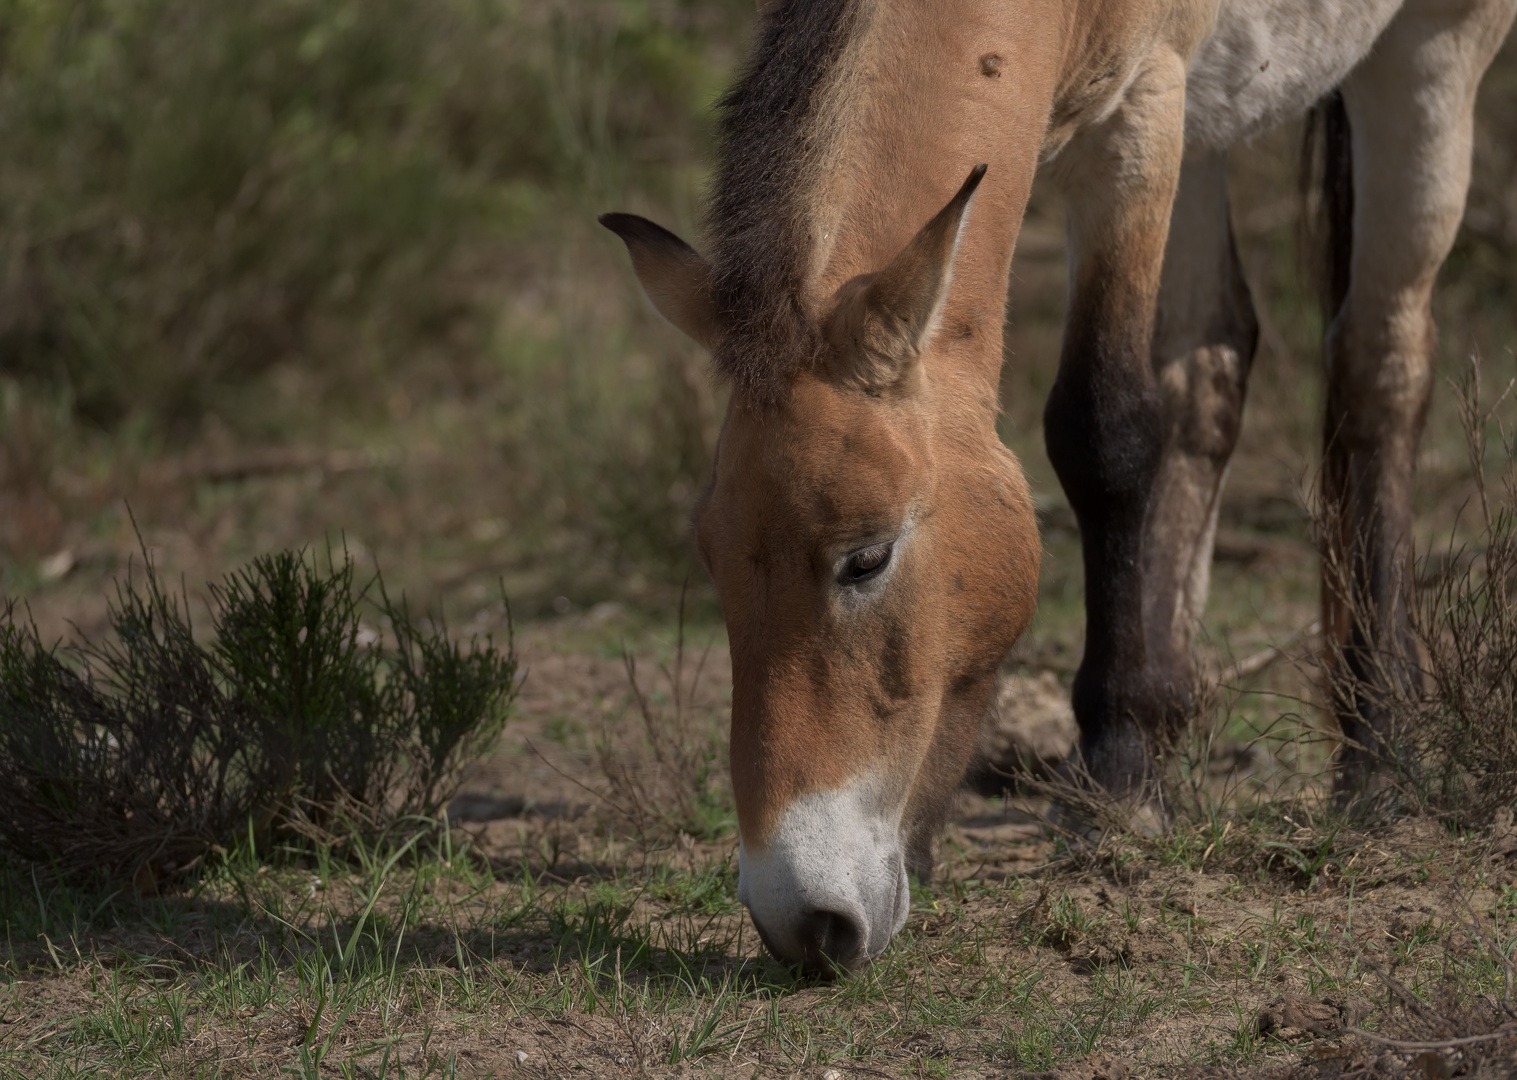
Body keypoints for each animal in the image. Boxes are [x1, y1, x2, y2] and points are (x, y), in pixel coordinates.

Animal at [603, 0, 1517, 976]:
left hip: (1428, 53)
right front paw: (1134, 756)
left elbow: (1102, 429)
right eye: (714, 563)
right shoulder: (1163, 114)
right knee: (1212, 366)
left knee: (1378, 361)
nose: (800, 924)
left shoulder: (1136, 116)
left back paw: (1375, 744)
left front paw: (1114, 773)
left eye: (866, 558)